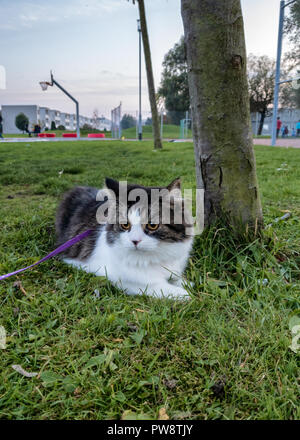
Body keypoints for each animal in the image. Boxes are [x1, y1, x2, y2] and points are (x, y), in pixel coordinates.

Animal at [54, 178, 193, 300]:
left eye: (152, 225)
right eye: (125, 225)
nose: (135, 241)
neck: (155, 255)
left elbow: (177, 278)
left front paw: (186, 283)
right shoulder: (121, 279)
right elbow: (157, 286)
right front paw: (184, 294)